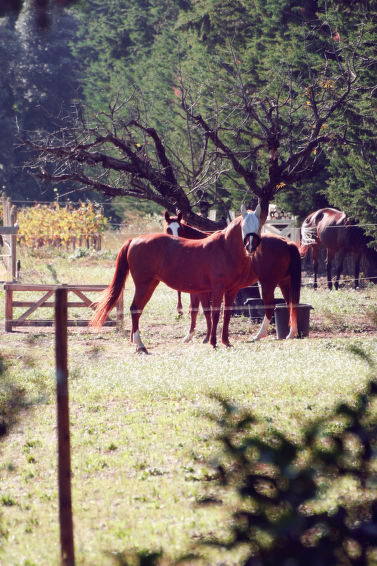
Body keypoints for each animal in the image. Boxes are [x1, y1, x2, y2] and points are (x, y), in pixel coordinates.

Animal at [89, 206, 262, 352]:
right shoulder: (216, 289)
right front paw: (213, 342)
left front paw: (226, 342)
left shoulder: (231, 290)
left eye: (258, 226)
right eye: (244, 226)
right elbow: (214, 314)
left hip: (151, 285)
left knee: (137, 310)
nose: (251, 246)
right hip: (143, 285)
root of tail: (134, 240)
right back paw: (140, 345)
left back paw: (137, 344)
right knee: (135, 309)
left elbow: (226, 315)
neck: (224, 248)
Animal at [163, 213, 302, 344]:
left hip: (268, 283)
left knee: (270, 308)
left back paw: (259, 335)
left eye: (179, 229)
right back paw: (291, 333)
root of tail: (286, 242)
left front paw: (202, 337)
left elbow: (203, 311)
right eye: (168, 229)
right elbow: (198, 310)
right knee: (291, 304)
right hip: (283, 282)